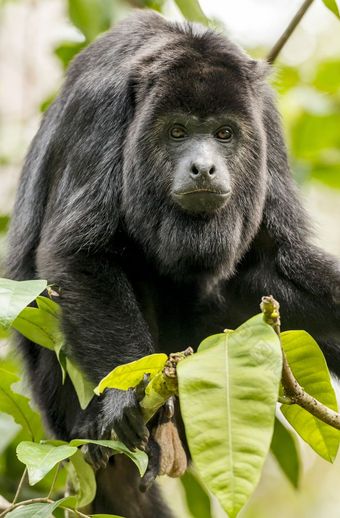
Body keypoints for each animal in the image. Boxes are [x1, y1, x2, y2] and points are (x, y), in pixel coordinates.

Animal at [7, 9, 340, 518]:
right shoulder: (99, 107)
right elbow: (80, 253)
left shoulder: (265, 116)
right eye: (177, 131)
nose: (203, 167)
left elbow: (274, 261)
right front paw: (122, 397)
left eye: (224, 133)